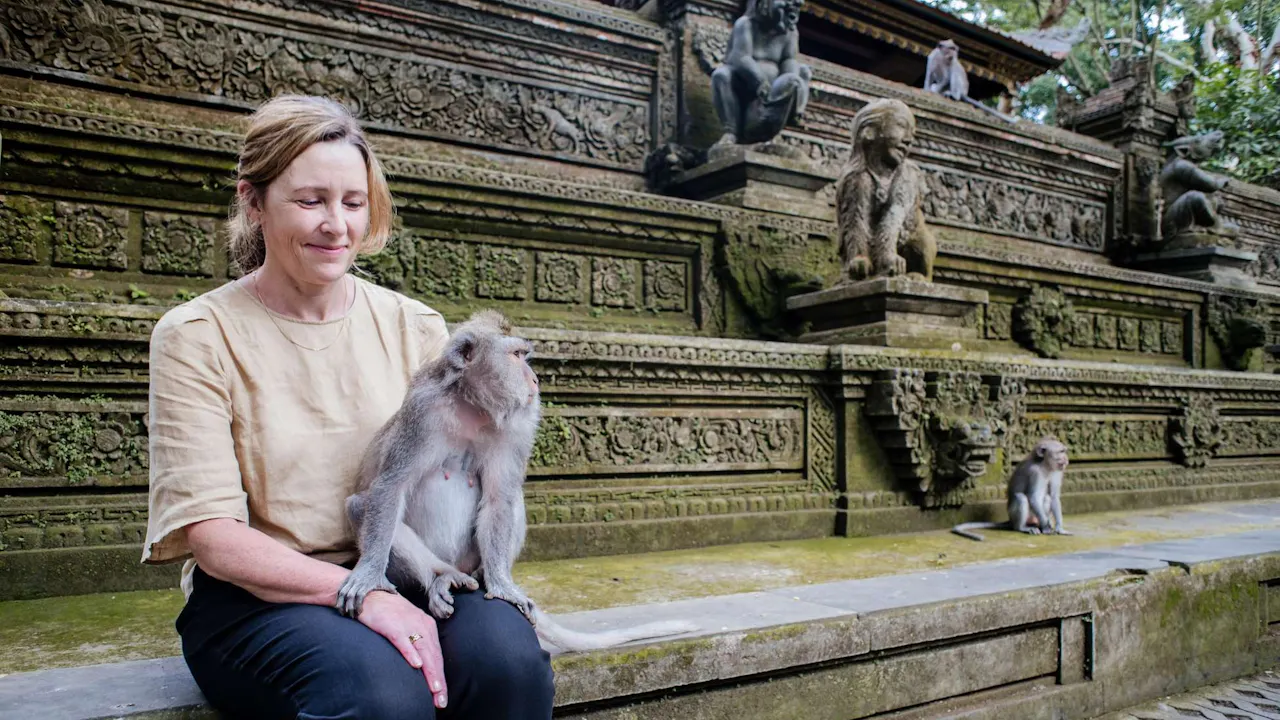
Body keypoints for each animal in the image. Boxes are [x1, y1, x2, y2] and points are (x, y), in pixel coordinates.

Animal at [336, 310, 698, 652]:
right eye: (516, 355)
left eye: (526, 355)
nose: (535, 379)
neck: (472, 405)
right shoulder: (422, 413)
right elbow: (391, 486)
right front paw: (369, 574)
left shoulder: (519, 426)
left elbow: (499, 498)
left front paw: (501, 584)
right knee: (360, 505)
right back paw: (443, 578)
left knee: (512, 499)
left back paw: (482, 575)